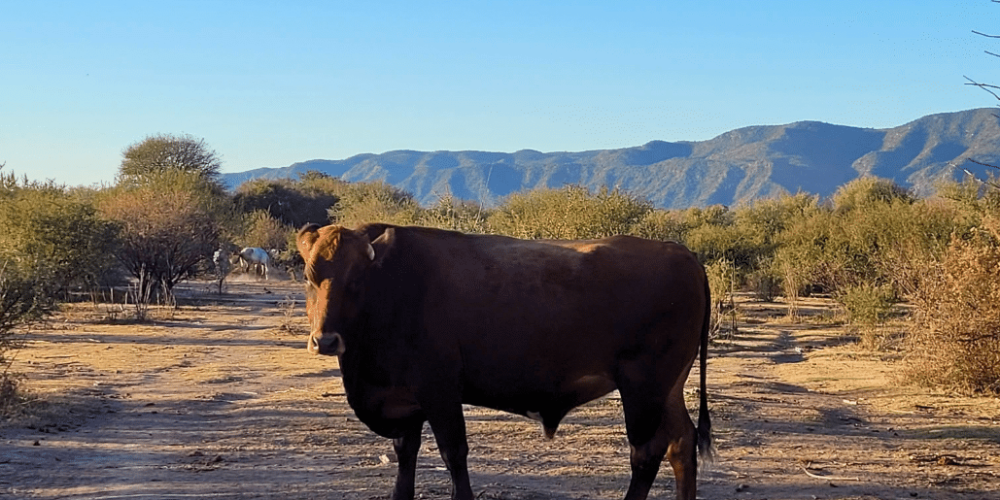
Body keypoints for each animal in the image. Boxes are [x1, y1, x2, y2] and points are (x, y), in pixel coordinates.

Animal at [296, 224, 712, 500]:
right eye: (309, 277)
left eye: (356, 280)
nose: (325, 340)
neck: (392, 287)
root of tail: (682, 253)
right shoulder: (406, 404)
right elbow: (405, 459)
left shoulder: (440, 392)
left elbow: (454, 454)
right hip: (668, 388)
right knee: (682, 442)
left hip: (643, 387)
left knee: (646, 453)